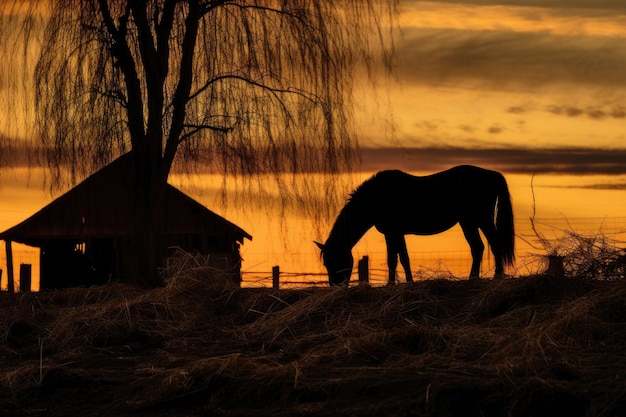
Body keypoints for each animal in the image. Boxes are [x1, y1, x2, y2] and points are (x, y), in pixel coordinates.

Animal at [314, 166, 516, 286]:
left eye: (335, 260)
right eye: (326, 263)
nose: (335, 286)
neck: (375, 198)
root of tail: (491, 175)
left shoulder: (392, 232)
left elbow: (395, 259)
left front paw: (395, 284)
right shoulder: (395, 233)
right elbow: (400, 258)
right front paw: (403, 282)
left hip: (480, 220)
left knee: (493, 244)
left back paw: (496, 276)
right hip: (469, 222)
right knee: (478, 247)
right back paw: (473, 278)